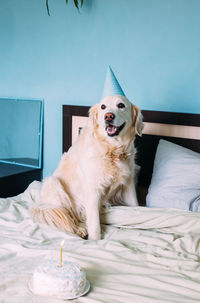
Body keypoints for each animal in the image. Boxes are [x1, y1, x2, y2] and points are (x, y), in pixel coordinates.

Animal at [31, 96, 143, 241]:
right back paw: (79, 229)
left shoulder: (128, 185)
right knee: (68, 217)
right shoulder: (92, 190)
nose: (108, 116)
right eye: (103, 107)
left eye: (121, 105)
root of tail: (42, 206)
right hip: (53, 183)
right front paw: (94, 241)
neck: (112, 150)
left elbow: (136, 206)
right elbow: (94, 224)